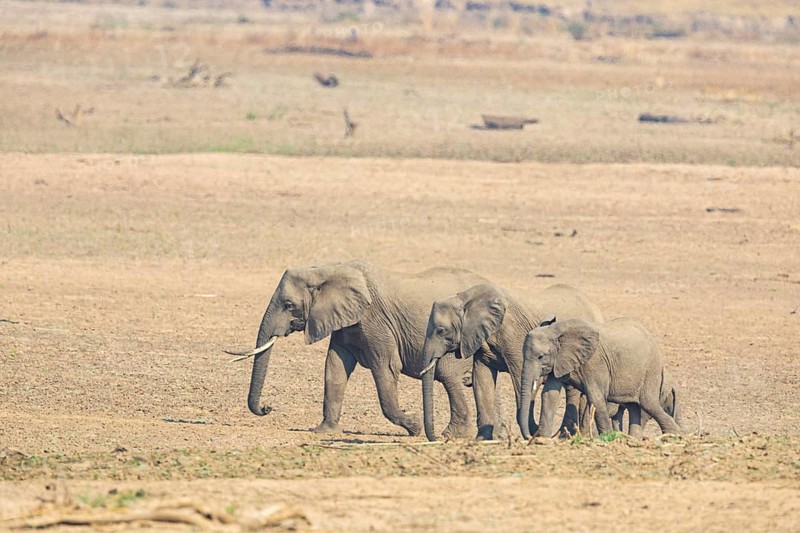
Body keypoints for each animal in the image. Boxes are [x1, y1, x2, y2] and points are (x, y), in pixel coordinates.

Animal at [226, 260, 490, 438]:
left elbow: (386, 367)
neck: (325, 269)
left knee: (447, 374)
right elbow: (334, 368)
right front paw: (324, 431)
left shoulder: (375, 320)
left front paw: (414, 426)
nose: (267, 407)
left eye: (288, 305)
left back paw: (453, 435)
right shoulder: (345, 322)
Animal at [419, 283, 603, 441]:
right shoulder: (480, 339)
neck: (466, 298)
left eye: (441, 331)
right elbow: (481, 380)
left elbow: (520, 378)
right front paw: (482, 440)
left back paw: (566, 436)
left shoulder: (514, 335)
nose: (437, 438)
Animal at [519, 317, 682, 439]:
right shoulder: (560, 361)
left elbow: (595, 397)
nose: (530, 437)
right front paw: (542, 441)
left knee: (649, 404)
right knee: (634, 406)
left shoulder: (594, 362)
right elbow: (549, 395)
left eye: (541, 356)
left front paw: (608, 438)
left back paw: (675, 436)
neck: (556, 329)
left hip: (651, 369)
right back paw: (634, 439)